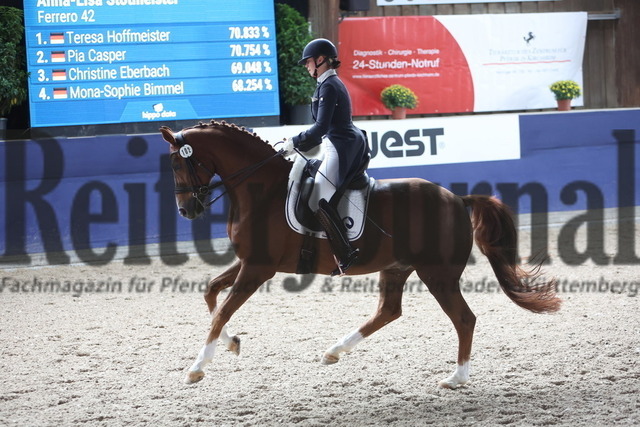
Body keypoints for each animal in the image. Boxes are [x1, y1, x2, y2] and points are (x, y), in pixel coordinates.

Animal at [159, 120, 561, 387]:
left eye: (178, 164)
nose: (186, 210)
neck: (262, 190)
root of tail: (457, 199)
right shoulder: (248, 262)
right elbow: (211, 293)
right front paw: (232, 344)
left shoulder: (258, 268)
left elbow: (222, 310)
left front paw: (197, 367)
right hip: (397, 268)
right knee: (389, 311)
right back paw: (335, 350)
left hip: (438, 274)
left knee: (464, 319)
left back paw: (456, 378)